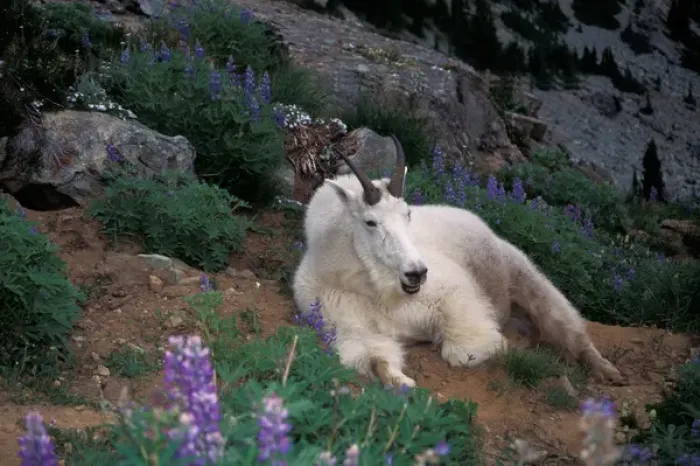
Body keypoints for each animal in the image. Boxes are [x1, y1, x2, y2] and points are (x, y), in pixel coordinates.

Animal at [292, 135, 624, 388]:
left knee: (568, 327)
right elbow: (376, 359)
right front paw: (402, 382)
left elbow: (464, 351)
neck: (373, 288)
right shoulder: (350, 330)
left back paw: (608, 372)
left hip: (523, 274)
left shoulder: (455, 298)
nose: (417, 273)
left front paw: (504, 344)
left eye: (407, 213)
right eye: (370, 222)